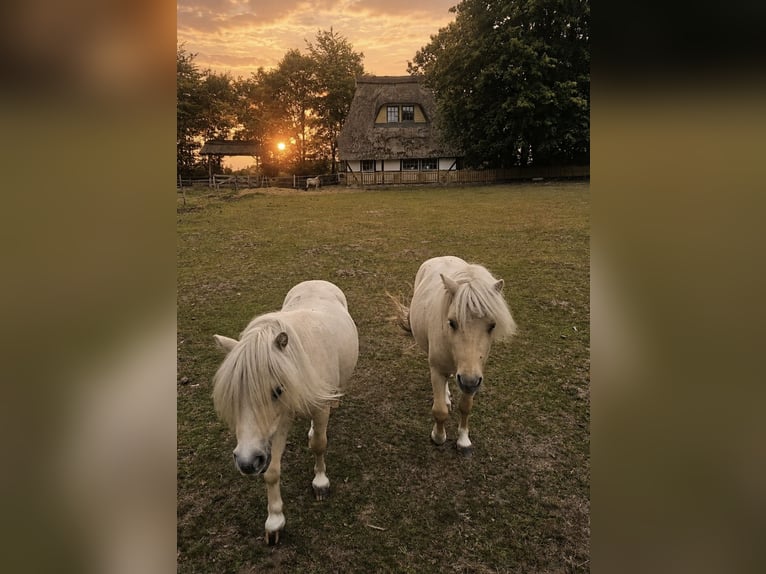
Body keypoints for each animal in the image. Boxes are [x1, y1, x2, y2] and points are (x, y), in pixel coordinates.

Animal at [212, 280, 359, 544]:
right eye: (233, 396)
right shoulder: (279, 422)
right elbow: (272, 471)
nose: (247, 462)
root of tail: (317, 281)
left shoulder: (319, 410)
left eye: (277, 390)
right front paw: (275, 520)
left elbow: (319, 445)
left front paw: (320, 483)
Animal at [390, 256, 516, 455]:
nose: (468, 382)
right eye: (452, 322)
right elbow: (440, 410)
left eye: (492, 325)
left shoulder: (473, 375)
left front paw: (463, 439)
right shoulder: (437, 370)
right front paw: (438, 436)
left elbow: (465, 407)